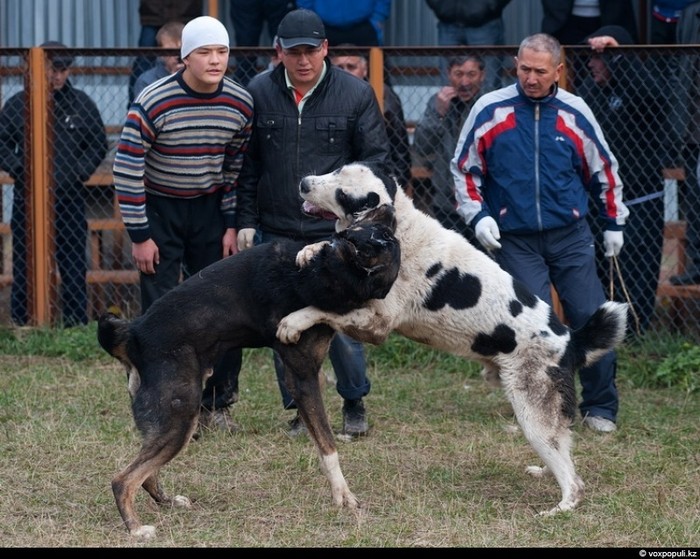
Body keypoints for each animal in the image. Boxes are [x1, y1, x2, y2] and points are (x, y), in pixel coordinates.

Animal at [96, 205, 400, 540]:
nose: (388, 207)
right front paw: (342, 495)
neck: (323, 271)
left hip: (172, 422)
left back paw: (169, 502)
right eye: (380, 233)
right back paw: (137, 529)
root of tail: (134, 336)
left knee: (146, 474)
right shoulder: (303, 377)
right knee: (123, 480)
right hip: (179, 416)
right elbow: (327, 444)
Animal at [276, 161, 628, 516]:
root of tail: (570, 339)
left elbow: (320, 309)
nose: (304, 183)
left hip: (532, 414)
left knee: (574, 482)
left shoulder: (377, 322)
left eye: (342, 193)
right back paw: (543, 471)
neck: (397, 229)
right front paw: (309, 250)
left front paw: (293, 321)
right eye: (337, 170)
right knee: (563, 449)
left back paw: (558, 510)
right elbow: (327, 247)